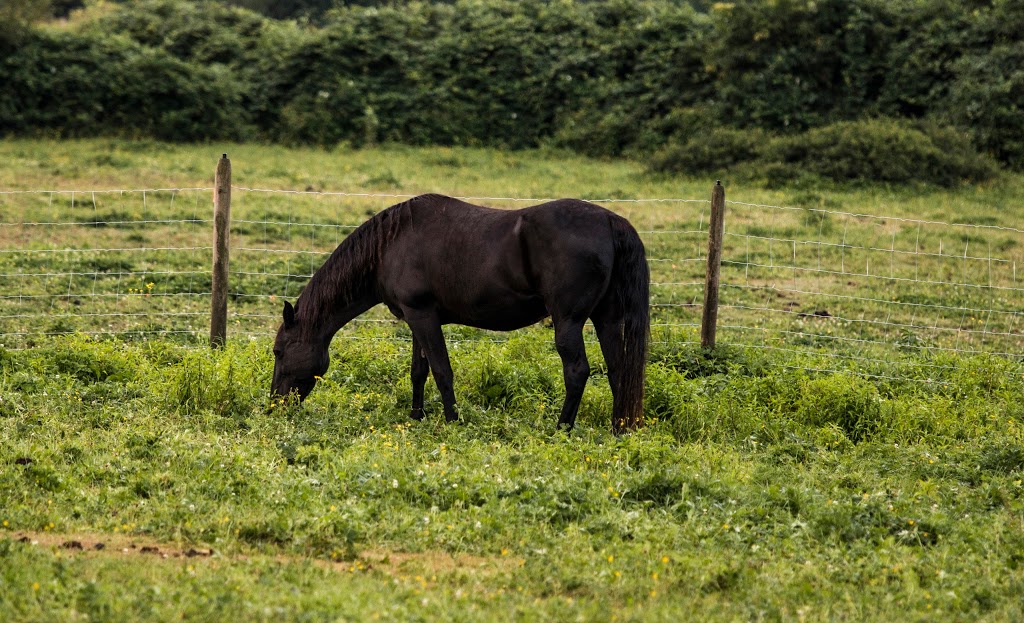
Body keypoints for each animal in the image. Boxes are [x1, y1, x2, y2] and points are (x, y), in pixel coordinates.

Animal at [270, 192, 647, 430]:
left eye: (278, 352)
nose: (274, 405)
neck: (391, 244)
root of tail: (610, 222)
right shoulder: (416, 318)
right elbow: (419, 372)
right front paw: (417, 417)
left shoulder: (423, 316)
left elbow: (441, 371)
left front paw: (452, 421)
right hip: (607, 319)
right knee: (619, 370)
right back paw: (619, 428)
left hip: (567, 321)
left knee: (577, 371)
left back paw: (562, 428)